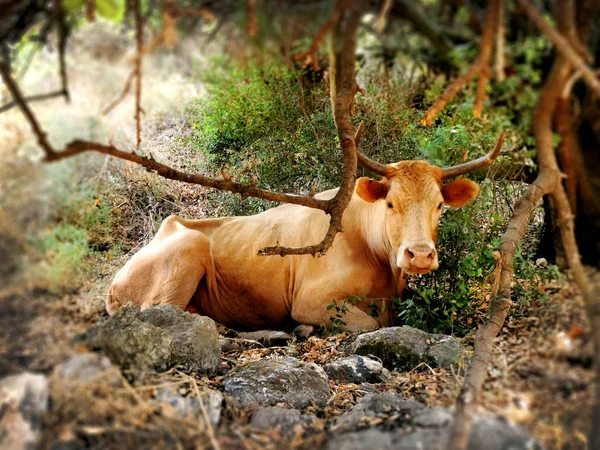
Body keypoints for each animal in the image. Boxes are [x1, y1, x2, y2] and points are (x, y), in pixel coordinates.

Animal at [105, 142, 500, 332]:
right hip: (189, 248)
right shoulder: (310, 300)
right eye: (391, 203)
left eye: (439, 205)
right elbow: (369, 324)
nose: (419, 255)